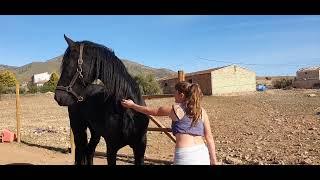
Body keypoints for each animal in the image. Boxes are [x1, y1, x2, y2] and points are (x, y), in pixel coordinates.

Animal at [54, 34, 149, 165]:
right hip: (78, 128)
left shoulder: (140, 147)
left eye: (68, 64)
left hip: (95, 132)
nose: (58, 96)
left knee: (89, 151)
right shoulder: (112, 148)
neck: (128, 111)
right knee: (81, 151)